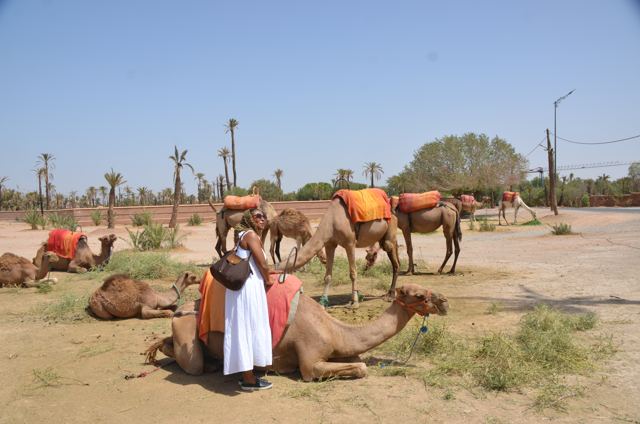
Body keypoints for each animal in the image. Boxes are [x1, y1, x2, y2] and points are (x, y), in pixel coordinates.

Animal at [145, 283, 448, 381]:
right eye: (419, 295)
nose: (444, 301)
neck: (334, 328)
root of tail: (181, 311)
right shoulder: (309, 360)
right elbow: (359, 368)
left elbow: (358, 361)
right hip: (187, 330)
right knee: (193, 364)